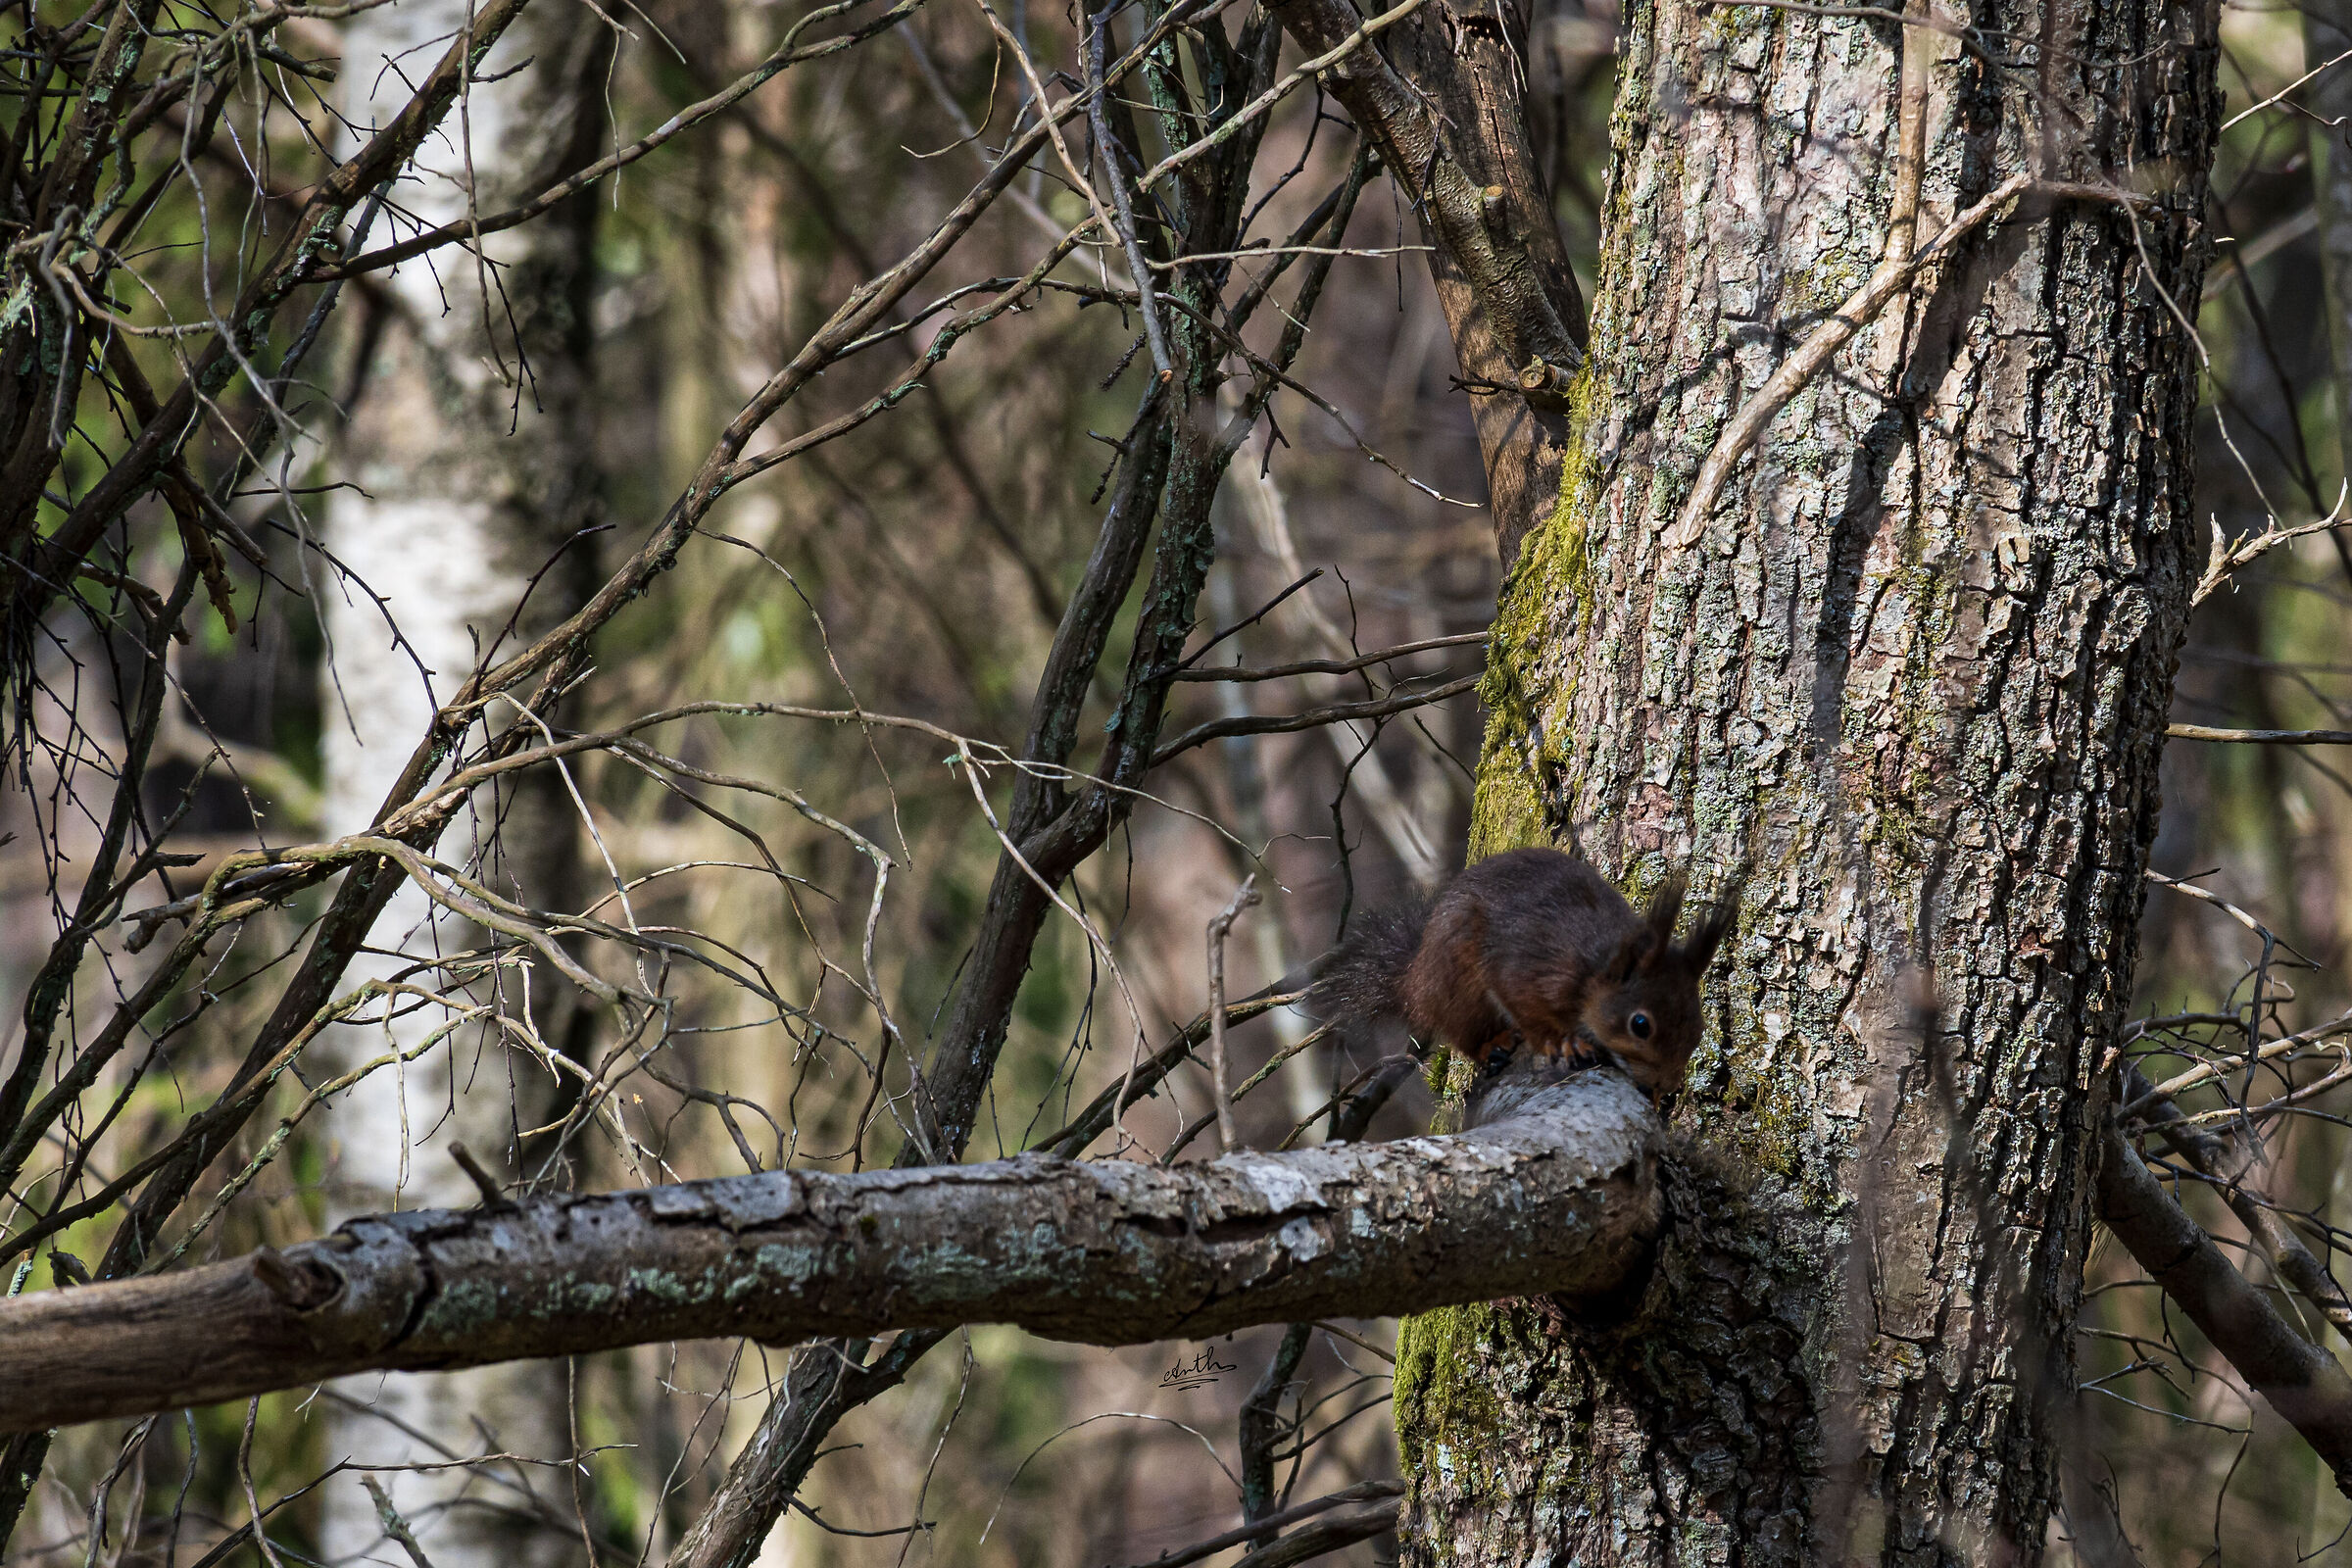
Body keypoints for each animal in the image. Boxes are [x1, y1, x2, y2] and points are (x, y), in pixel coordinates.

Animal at [1315, 846, 1739, 1102]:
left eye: (1699, 1028)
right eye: (1640, 1025)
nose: (1665, 1085)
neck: (1592, 973)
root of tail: (1415, 978)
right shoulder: (1527, 972)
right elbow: (1528, 1011)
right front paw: (1563, 1042)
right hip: (1457, 982)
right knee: (1460, 1029)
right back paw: (1492, 1043)